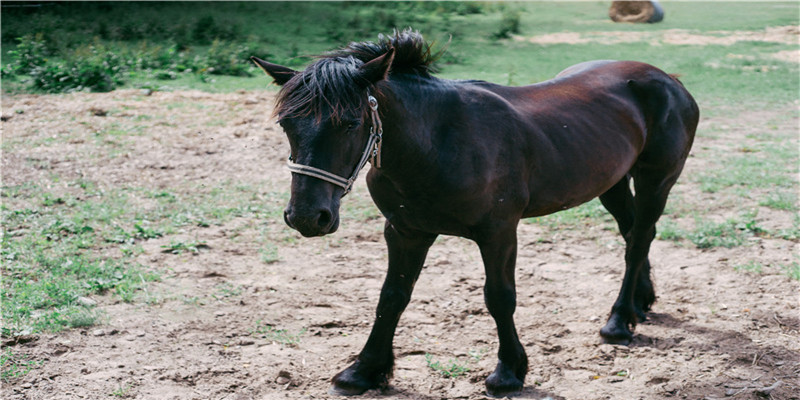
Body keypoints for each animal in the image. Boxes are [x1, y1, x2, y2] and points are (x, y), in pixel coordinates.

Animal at [253, 30, 696, 396]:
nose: (307, 217)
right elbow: (391, 296)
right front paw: (364, 370)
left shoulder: (498, 232)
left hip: (657, 179)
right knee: (634, 233)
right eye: (286, 124)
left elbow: (499, 297)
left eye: (349, 123)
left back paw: (619, 322)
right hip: (613, 182)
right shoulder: (404, 231)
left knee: (637, 241)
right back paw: (641, 303)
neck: (436, 143)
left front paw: (508, 372)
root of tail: (669, 79)